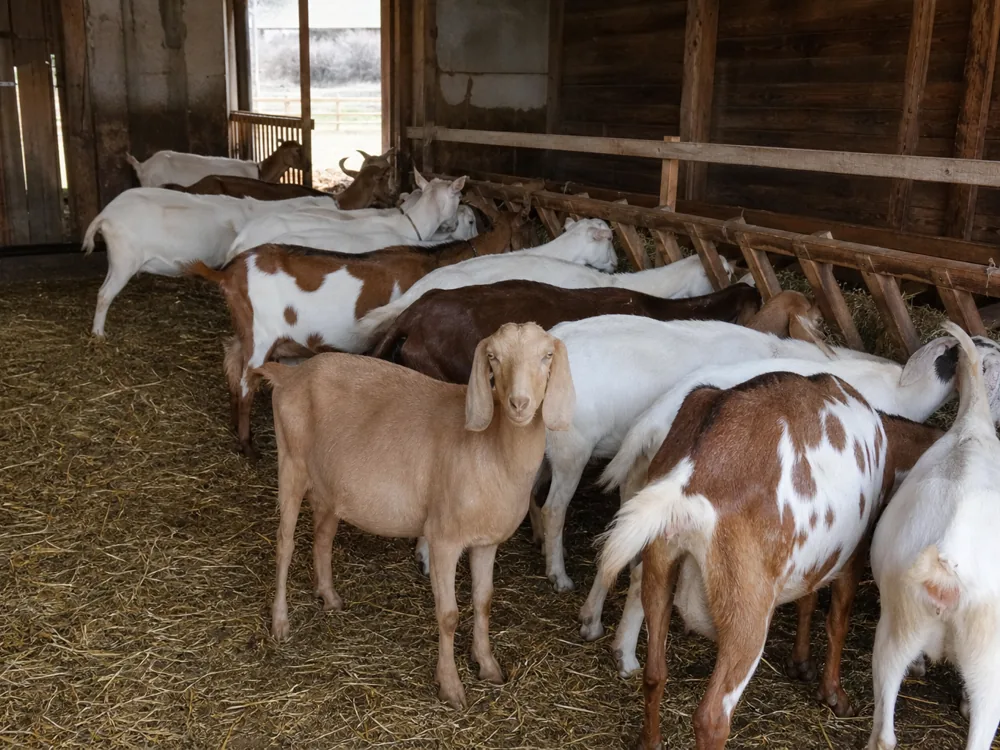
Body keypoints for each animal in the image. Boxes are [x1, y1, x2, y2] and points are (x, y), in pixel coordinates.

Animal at [188, 210, 525, 458]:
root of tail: (229, 272)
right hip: (261, 334)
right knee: (247, 380)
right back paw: (248, 446)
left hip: (245, 329)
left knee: (232, 363)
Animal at [257, 322, 574, 710]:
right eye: (493, 358)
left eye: (546, 356)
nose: (519, 403)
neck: (491, 449)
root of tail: (290, 375)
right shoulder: (443, 538)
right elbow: (449, 615)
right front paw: (451, 687)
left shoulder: (486, 541)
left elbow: (484, 602)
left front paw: (488, 666)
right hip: (291, 462)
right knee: (284, 544)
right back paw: (280, 623)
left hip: (329, 484)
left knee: (323, 536)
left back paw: (329, 597)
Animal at [588, 332, 1000, 677]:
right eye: (986, 363)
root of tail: (650, 423)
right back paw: (626, 654)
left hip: (637, 489)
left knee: (617, 560)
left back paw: (596, 625)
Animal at [597, 371, 947, 749]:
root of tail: (690, 477)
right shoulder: (853, 552)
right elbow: (837, 619)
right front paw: (834, 695)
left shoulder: (813, 554)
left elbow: (808, 598)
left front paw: (800, 663)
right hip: (748, 605)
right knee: (711, 718)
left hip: (660, 565)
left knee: (654, 673)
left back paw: (650, 740)